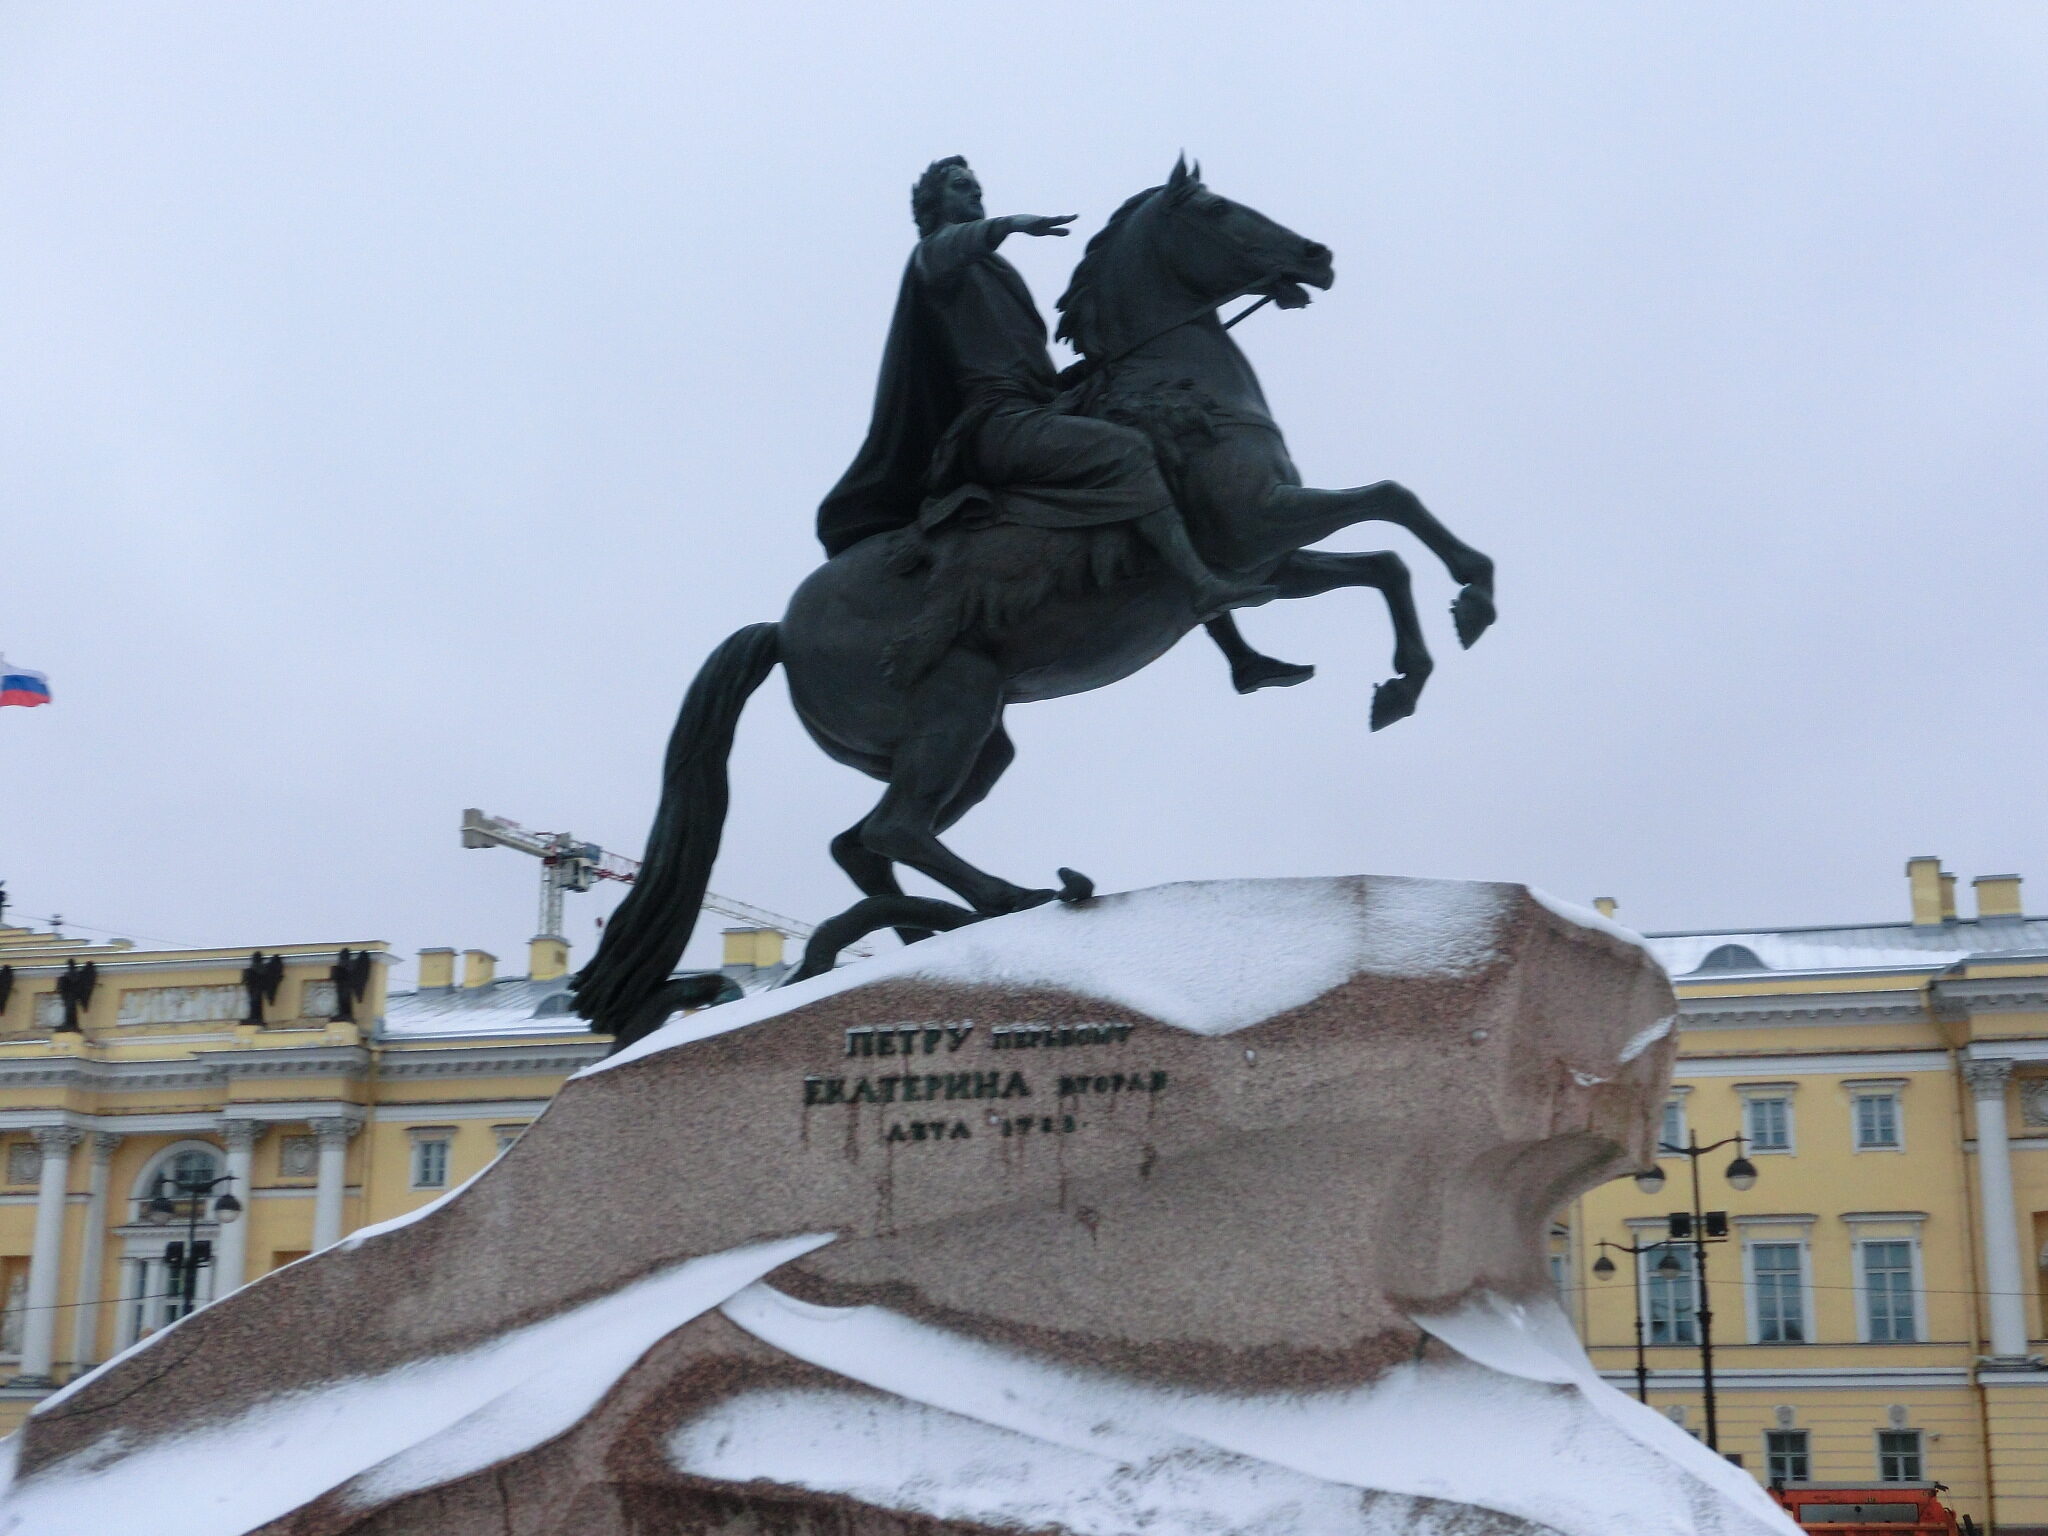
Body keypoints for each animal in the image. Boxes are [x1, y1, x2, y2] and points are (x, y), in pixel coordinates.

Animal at [569, 159, 1499, 1048]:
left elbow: (1383, 560)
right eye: (1217, 210)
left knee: (862, 841)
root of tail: (780, 631)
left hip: (978, 742)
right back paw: (1014, 899)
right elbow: (1392, 503)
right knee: (895, 829)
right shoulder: (1258, 528)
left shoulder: (1276, 557)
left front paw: (1405, 677)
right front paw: (1473, 598)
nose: (1316, 255)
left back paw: (931, 931)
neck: (1175, 384)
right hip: (957, 706)